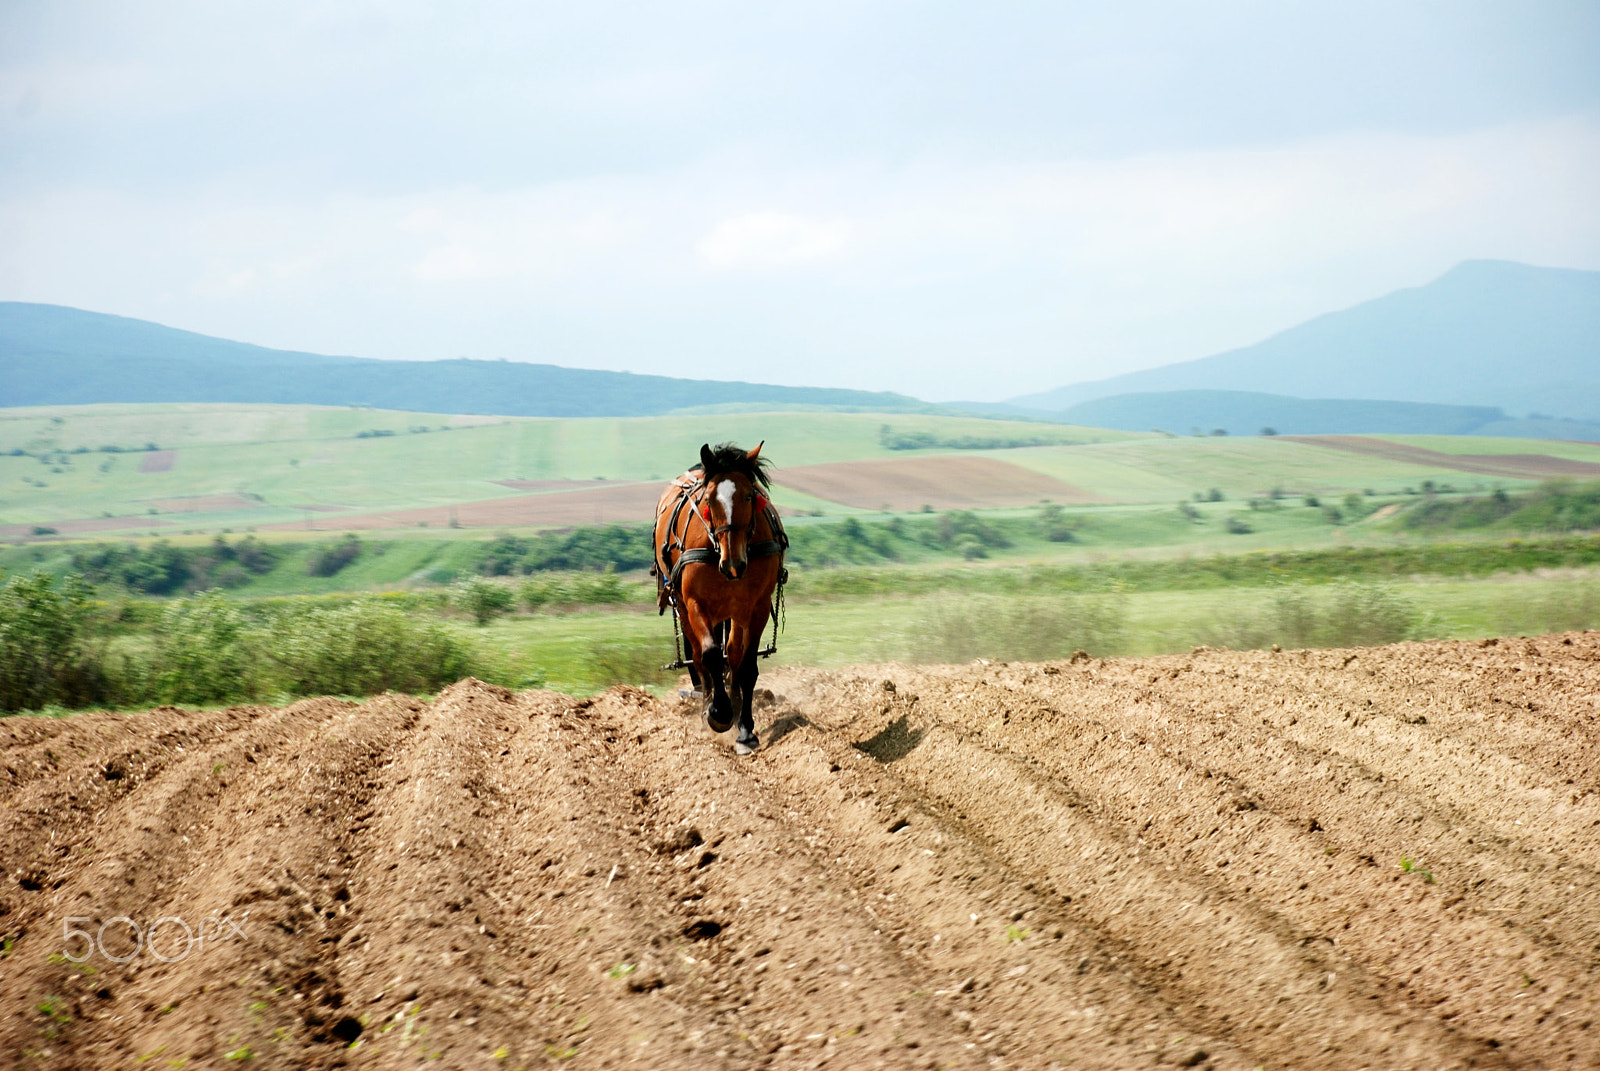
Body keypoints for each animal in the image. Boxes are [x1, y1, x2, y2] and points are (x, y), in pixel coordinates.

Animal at [649, 441, 787, 752]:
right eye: (709, 500)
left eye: (749, 495)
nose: (733, 563)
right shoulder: (695, 603)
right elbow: (710, 654)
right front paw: (719, 713)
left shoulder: (757, 606)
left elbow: (746, 665)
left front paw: (745, 729)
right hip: (683, 606)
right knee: (701, 658)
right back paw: (709, 704)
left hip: (733, 610)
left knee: (733, 654)